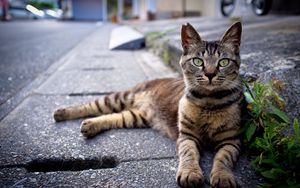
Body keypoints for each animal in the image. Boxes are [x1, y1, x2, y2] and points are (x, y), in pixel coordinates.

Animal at [54, 21, 244, 187]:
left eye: (223, 62)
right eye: (198, 61)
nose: (210, 74)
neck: (209, 101)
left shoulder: (231, 141)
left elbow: (223, 159)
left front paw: (223, 176)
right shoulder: (186, 136)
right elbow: (189, 154)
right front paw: (190, 173)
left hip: (135, 117)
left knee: (112, 116)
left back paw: (90, 125)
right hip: (120, 98)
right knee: (92, 105)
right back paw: (62, 113)